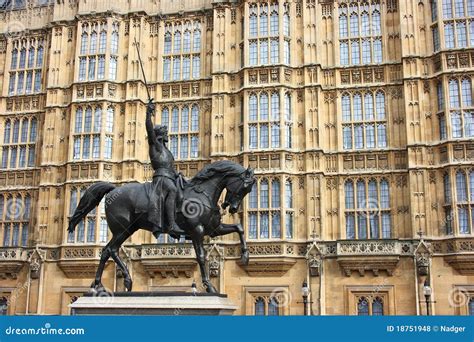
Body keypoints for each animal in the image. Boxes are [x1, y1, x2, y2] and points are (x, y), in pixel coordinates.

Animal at [67, 159, 256, 292]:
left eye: (248, 190)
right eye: (245, 186)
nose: (232, 208)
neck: (202, 193)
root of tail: (113, 189)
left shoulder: (213, 229)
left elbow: (239, 228)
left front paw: (245, 256)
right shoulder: (197, 230)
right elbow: (201, 256)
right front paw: (209, 286)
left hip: (128, 229)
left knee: (109, 251)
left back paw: (106, 283)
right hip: (122, 229)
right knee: (109, 250)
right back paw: (112, 282)